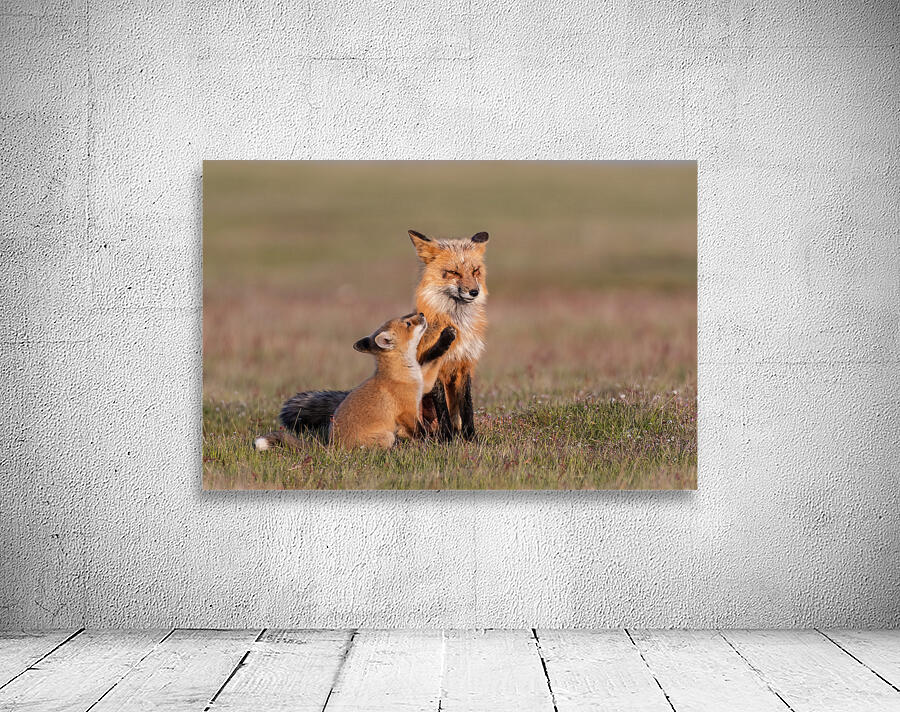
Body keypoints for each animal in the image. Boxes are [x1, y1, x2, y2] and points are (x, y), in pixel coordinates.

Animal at [254, 312, 456, 450]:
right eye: (408, 323)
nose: (421, 314)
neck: (402, 372)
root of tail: (331, 446)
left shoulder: (423, 383)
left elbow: (434, 358)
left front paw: (446, 337)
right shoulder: (407, 411)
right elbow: (421, 431)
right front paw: (429, 442)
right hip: (385, 437)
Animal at [278, 229, 489, 440]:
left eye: (475, 271)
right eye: (454, 272)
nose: (474, 292)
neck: (457, 321)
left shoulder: (465, 365)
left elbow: (467, 407)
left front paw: (470, 437)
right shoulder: (436, 367)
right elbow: (442, 408)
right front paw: (447, 439)